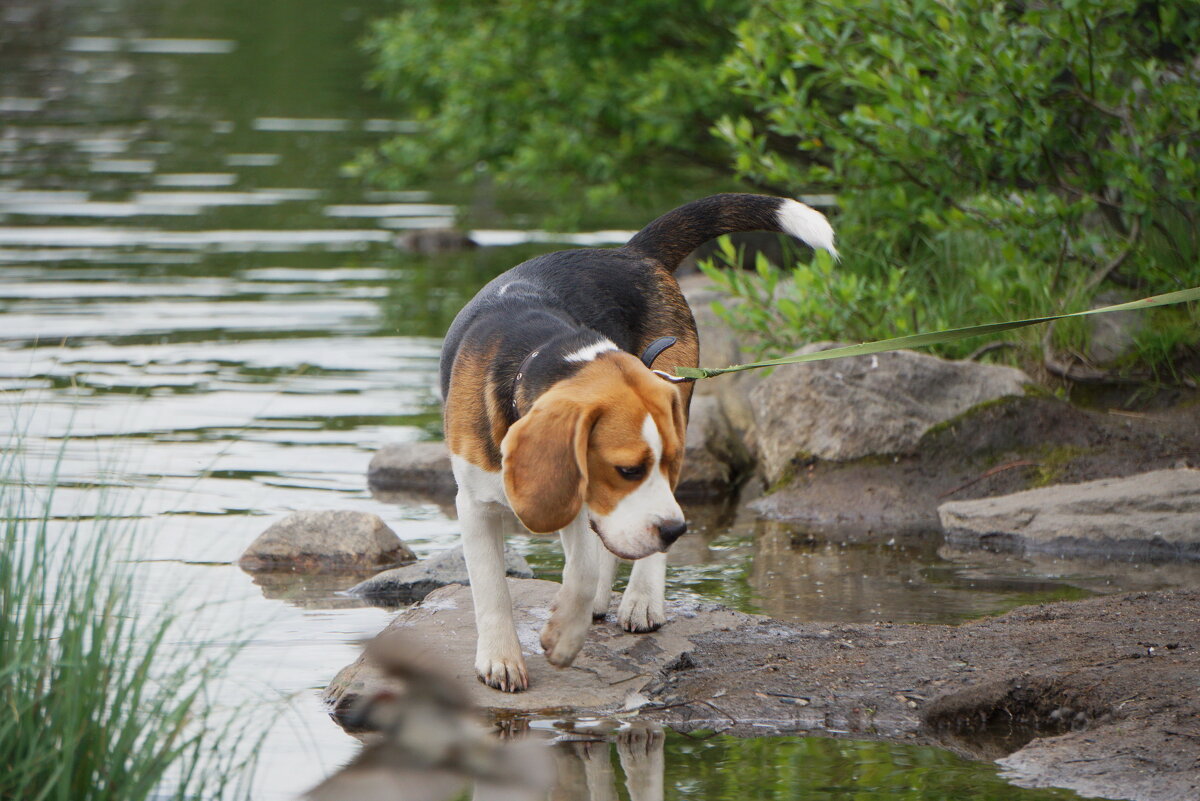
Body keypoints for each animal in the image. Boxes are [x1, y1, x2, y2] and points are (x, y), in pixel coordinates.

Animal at [441, 191, 835, 690]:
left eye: (661, 465)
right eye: (627, 469)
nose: (674, 531)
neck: (536, 357)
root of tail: (632, 252)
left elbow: (583, 569)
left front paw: (566, 632)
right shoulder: (476, 503)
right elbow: (492, 587)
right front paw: (500, 659)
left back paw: (642, 598)